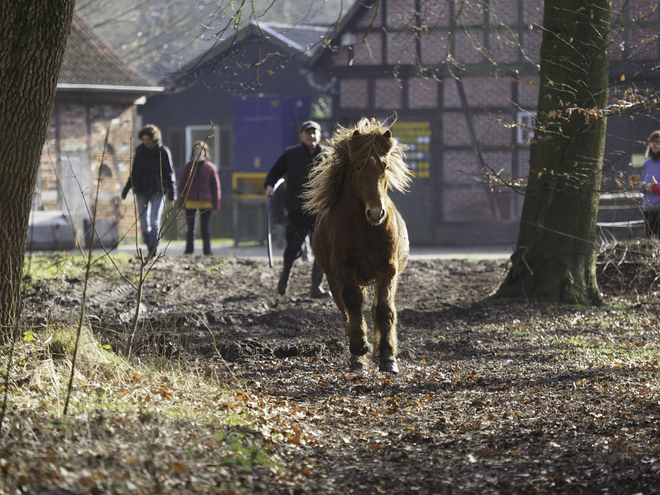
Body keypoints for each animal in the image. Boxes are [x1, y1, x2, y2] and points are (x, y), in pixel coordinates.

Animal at [304, 117, 412, 372]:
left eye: (385, 166)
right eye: (358, 167)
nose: (375, 212)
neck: (366, 229)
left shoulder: (387, 270)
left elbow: (384, 310)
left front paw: (388, 358)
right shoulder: (343, 269)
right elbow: (352, 304)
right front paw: (360, 348)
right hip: (334, 279)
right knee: (345, 310)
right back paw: (357, 359)